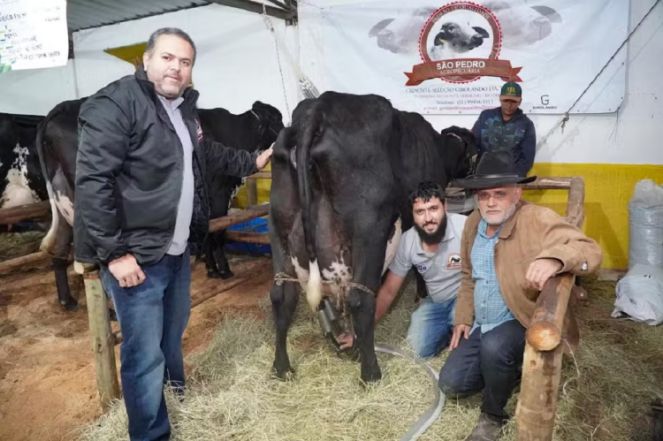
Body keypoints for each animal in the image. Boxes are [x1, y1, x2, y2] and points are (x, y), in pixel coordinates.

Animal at [37, 98, 282, 308]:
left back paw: (68, 301)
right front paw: (223, 271)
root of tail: (59, 109)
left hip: (63, 200)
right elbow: (217, 233)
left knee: (59, 249)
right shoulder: (218, 194)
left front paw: (210, 268)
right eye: (278, 120)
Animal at [270, 92, 478, 382]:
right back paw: (370, 371)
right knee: (360, 299)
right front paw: (420, 293)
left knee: (282, 295)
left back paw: (282, 368)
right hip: (369, 229)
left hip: (280, 226)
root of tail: (319, 108)